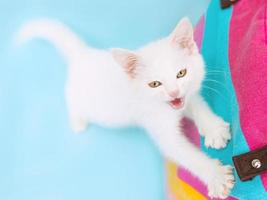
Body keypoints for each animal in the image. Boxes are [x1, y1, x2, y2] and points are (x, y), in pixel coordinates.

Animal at [16, 17, 234, 198]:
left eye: (181, 73)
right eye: (155, 84)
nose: (173, 93)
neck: (167, 108)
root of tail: (83, 54)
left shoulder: (182, 99)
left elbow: (195, 104)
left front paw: (213, 129)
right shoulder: (156, 123)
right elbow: (185, 155)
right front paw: (216, 176)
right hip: (76, 98)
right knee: (72, 104)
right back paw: (78, 122)